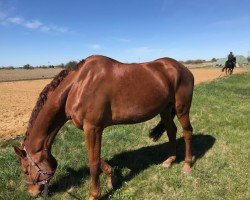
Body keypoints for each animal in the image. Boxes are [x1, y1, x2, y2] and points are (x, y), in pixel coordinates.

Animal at [12, 55, 194, 200]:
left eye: (25, 170)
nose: (32, 193)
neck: (78, 85)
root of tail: (183, 68)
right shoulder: (88, 129)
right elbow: (96, 157)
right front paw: (111, 178)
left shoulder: (93, 128)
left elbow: (93, 162)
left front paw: (94, 195)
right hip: (165, 109)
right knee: (171, 131)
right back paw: (169, 161)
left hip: (182, 109)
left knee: (187, 132)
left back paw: (187, 165)